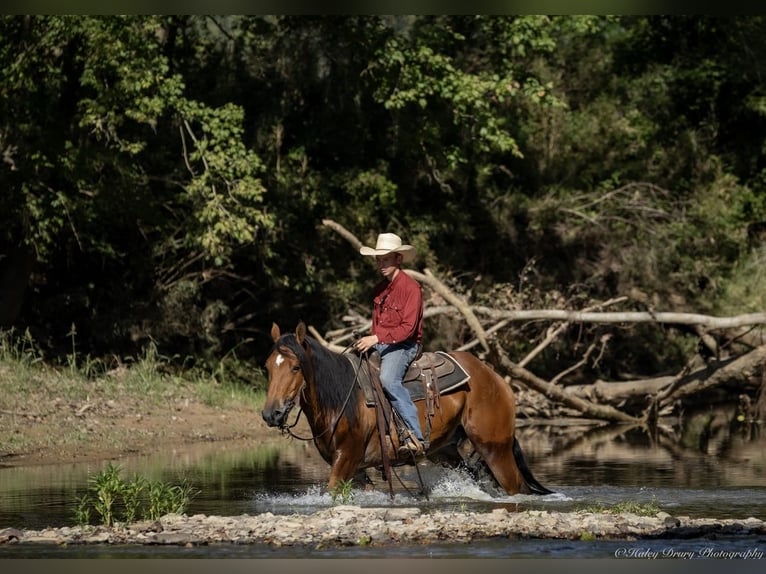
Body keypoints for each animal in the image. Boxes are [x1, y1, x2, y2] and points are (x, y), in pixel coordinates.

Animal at [262, 321, 552, 496]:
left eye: (295, 367)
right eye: (267, 367)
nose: (270, 414)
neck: (342, 399)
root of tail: (497, 379)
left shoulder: (346, 459)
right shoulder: (357, 469)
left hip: (495, 448)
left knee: (516, 486)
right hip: (446, 451)